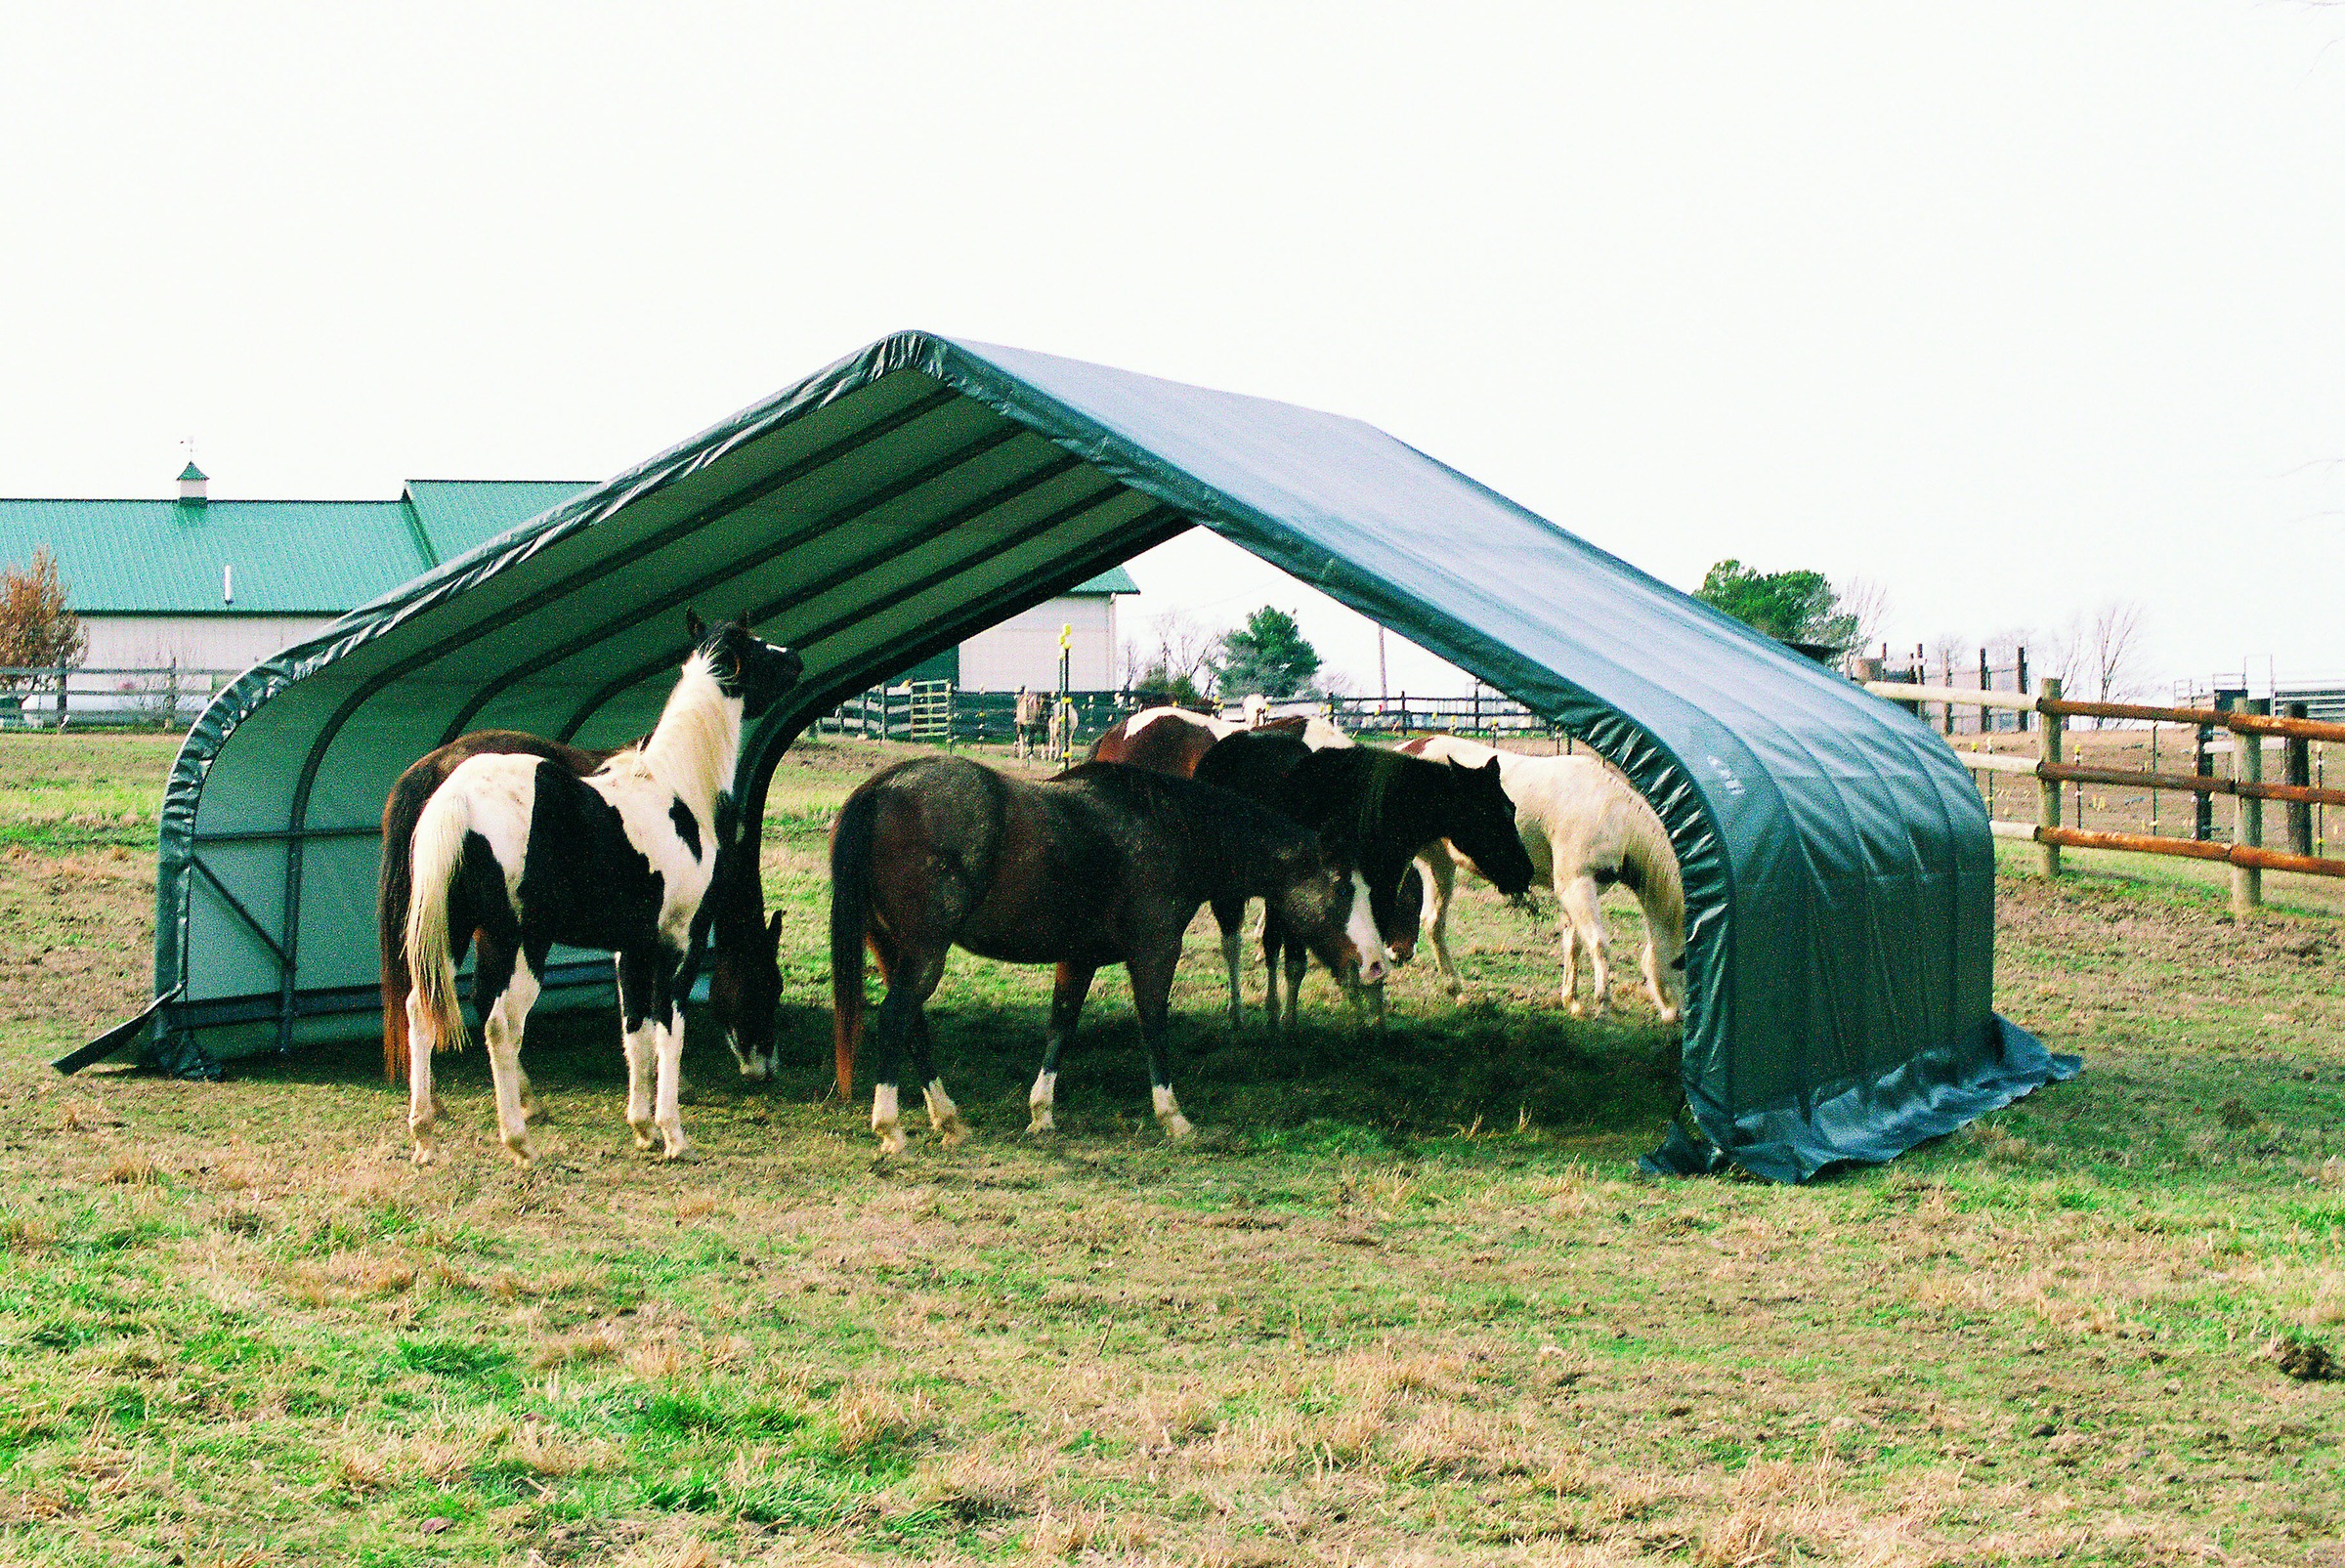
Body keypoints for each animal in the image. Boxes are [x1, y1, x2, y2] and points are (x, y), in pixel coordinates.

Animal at [1191, 736, 1538, 1026]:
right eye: (1486, 815)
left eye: (1511, 808)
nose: (1524, 871)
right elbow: (1298, 962)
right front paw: (1291, 1023)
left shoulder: (1378, 896)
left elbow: (1369, 960)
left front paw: (1375, 1021)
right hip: (1228, 893)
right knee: (1233, 944)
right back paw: (1238, 1011)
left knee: (1269, 942)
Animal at [1397, 731, 1679, 1022]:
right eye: (1679, 963)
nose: (1676, 1014)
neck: (1612, 815)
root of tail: (1408, 748)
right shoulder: (1575, 887)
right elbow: (1599, 943)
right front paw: (1603, 1006)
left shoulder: (1580, 891)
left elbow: (1573, 944)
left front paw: (1572, 1001)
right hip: (1432, 861)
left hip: (1440, 865)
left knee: (1433, 922)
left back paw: (1458, 992)